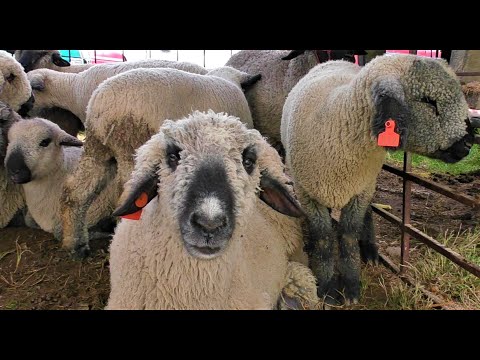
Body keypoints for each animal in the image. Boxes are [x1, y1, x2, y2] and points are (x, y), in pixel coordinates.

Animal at [280, 54, 478, 306]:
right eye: (428, 101)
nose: (468, 144)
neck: (339, 121)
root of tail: (335, 60)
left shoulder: (360, 190)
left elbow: (348, 234)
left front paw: (351, 287)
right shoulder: (306, 192)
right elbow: (323, 236)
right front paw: (325, 287)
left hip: (369, 180)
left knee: (369, 211)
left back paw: (371, 252)